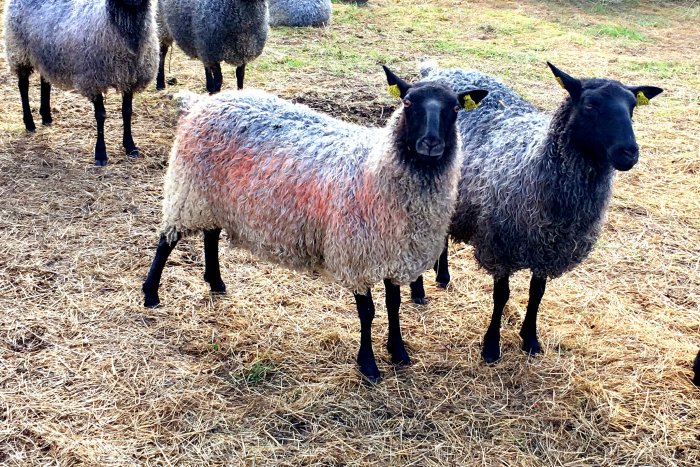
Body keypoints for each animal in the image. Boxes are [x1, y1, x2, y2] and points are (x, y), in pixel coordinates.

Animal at [3, 0, 159, 166]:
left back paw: (46, 116)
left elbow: (127, 112)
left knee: (45, 81)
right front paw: (101, 154)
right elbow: (100, 115)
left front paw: (130, 147)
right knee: (23, 86)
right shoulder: (93, 79)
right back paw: (29, 123)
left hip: (45, 54)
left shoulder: (130, 77)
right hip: (19, 51)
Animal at [144, 66, 486, 384]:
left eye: (455, 109)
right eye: (407, 102)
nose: (430, 143)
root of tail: (204, 102)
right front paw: (369, 365)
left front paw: (398, 352)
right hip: (187, 191)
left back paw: (216, 282)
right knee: (167, 240)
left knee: (211, 234)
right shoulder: (355, 255)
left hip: (213, 197)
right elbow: (368, 313)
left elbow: (394, 304)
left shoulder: (394, 253)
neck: (376, 170)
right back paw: (151, 294)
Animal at [412, 60, 664, 364]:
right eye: (590, 104)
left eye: (632, 107)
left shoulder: (548, 248)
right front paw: (491, 345)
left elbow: (537, 294)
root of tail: (439, 70)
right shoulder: (500, 245)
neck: (535, 164)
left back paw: (443, 275)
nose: (629, 153)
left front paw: (530, 339)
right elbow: (502, 296)